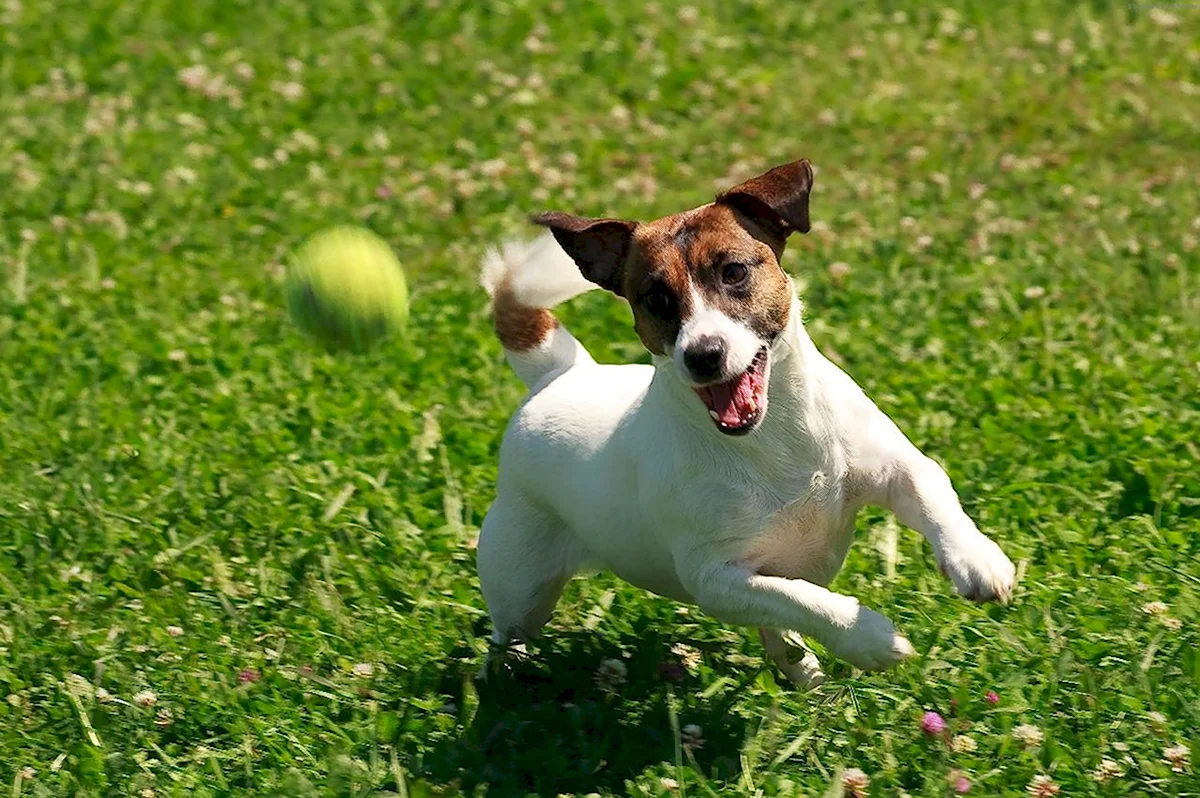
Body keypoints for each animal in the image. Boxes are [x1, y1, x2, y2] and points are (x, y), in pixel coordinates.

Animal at [475, 157, 1012, 686]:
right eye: (655, 297)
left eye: (733, 272)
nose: (703, 355)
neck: (773, 437)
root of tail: (557, 374)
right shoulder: (715, 578)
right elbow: (798, 599)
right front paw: (870, 638)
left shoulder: (894, 467)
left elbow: (932, 490)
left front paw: (977, 560)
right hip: (519, 580)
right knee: (508, 632)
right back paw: (508, 675)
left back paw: (802, 672)